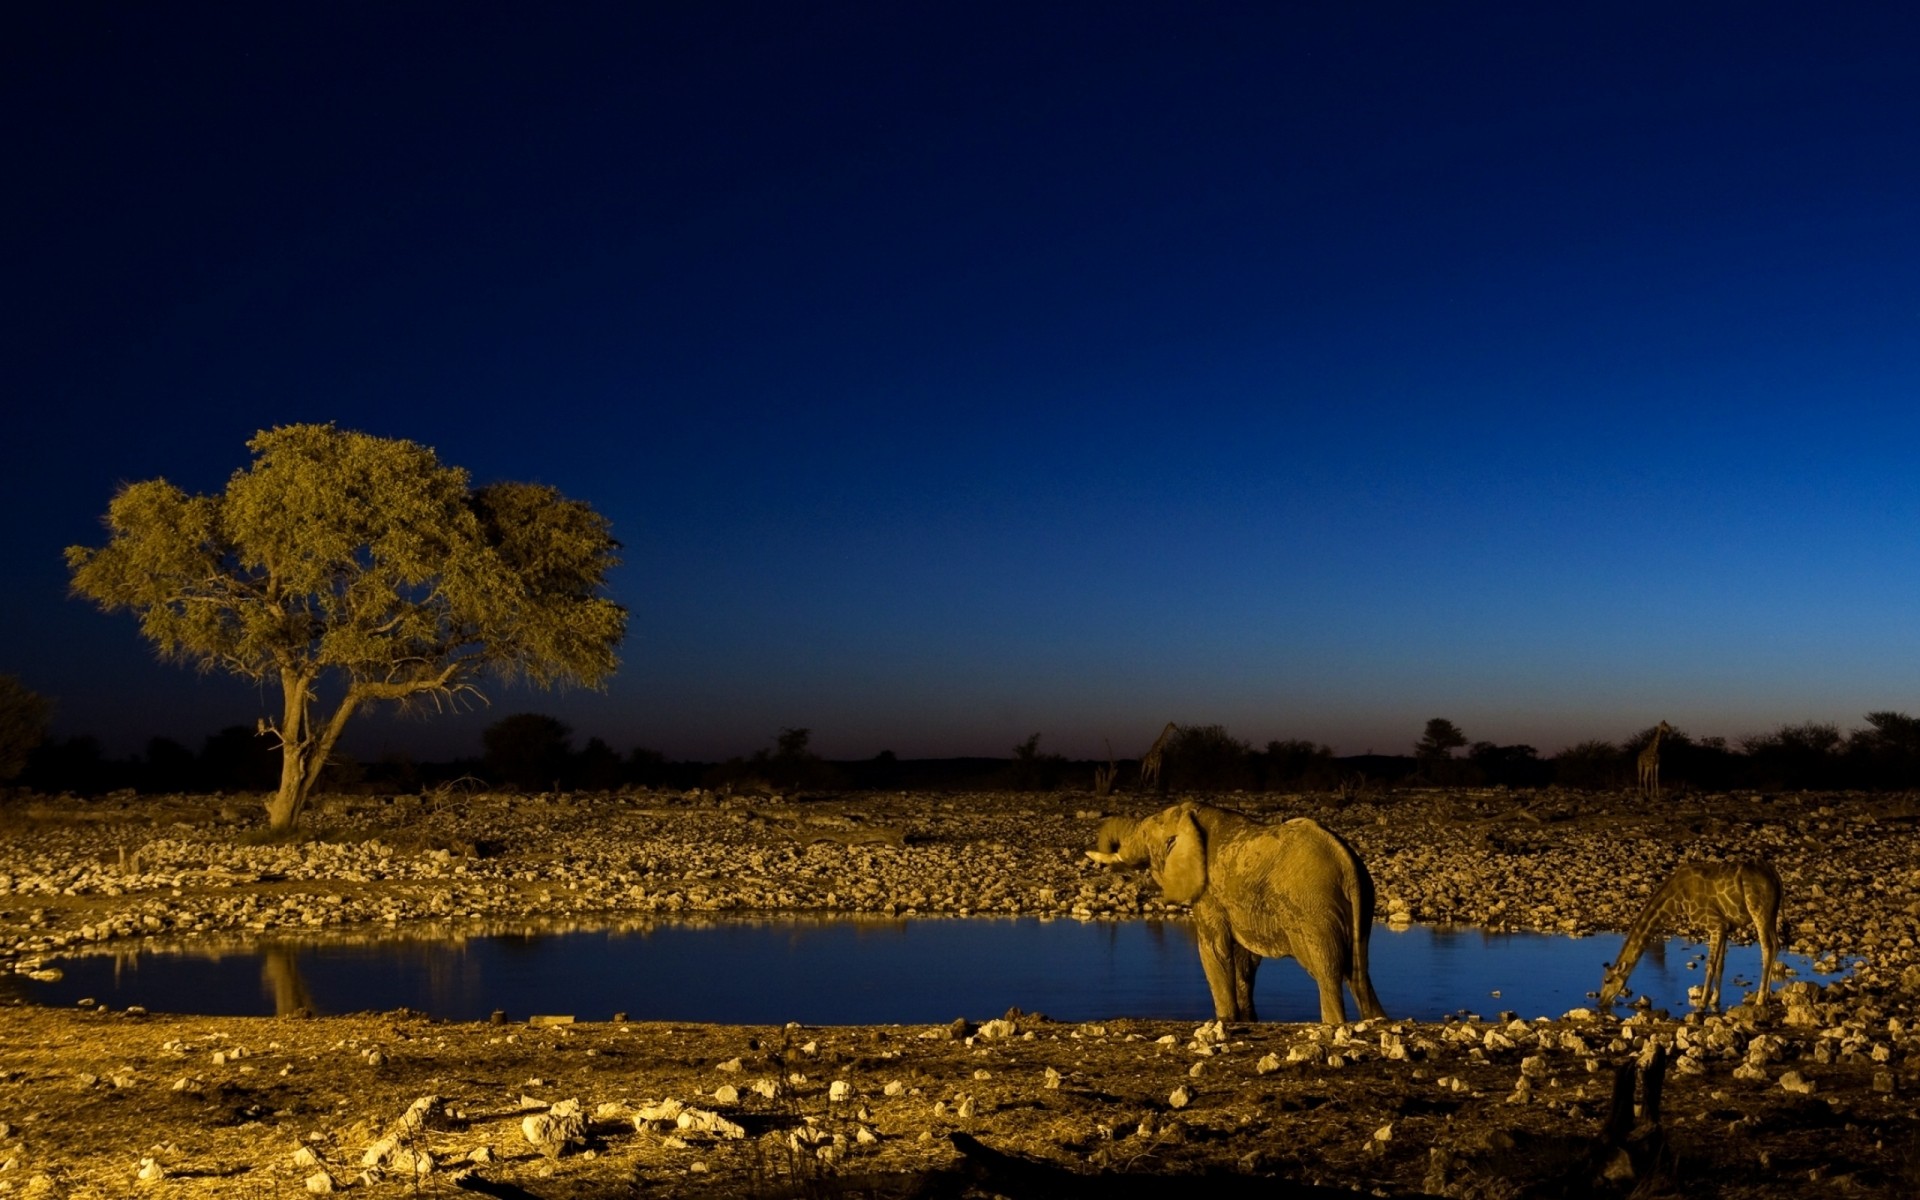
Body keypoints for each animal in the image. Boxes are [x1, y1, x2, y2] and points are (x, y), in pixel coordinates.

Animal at [1090, 798, 1390, 1021]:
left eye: (1144, 833)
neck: (1191, 815)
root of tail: (1347, 863)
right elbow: (1245, 958)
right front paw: (1246, 1019)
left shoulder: (1209, 892)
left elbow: (1214, 949)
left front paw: (1225, 1020)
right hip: (1362, 904)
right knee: (1358, 973)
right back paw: (1376, 1020)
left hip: (1313, 908)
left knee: (1327, 970)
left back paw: (1334, 1023)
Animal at [1589, 856, 1781, 1013]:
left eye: (1607, 980)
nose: (1601, 1003)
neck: (1676, 899)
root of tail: (1775, 876)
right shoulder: (1725, 927)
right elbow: (1720, 965)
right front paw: (1714, 1000)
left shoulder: (1715, 925)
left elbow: (1710, 964)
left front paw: (1702, 1004)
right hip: (1772, 913)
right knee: (1776, 945)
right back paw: (1767, 997)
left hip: (1758, 910)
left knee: (1767, 947)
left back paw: (1759, 999)